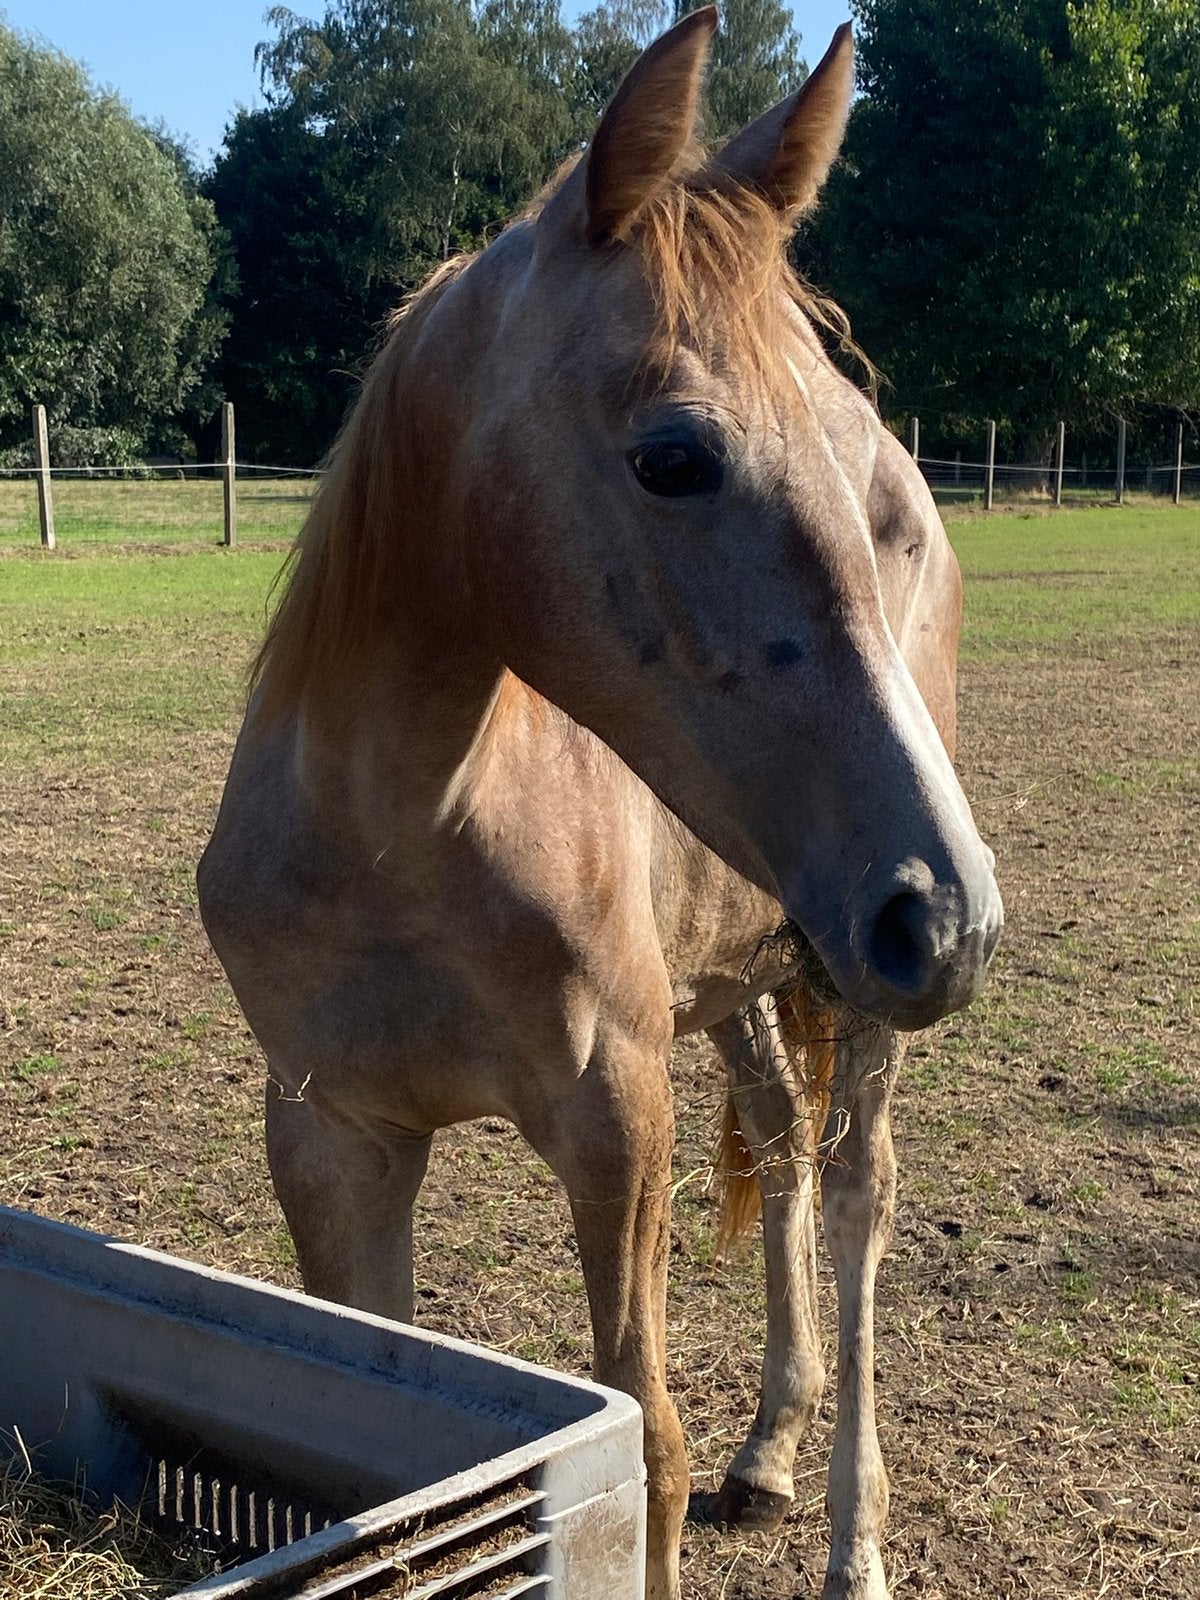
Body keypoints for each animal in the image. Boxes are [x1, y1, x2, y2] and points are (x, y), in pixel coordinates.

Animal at [198, 13, 1002, 1599]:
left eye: (858, 493)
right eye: (675, 454)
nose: (948, 912)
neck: (398, 836)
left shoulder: (616, 1121)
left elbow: (650, 1445)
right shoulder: (330, 1136)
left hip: (850, 988)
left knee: (858, 1192)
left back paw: (853, 1541)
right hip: (759, 959)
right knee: (788, 1150)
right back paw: (775, 1443)